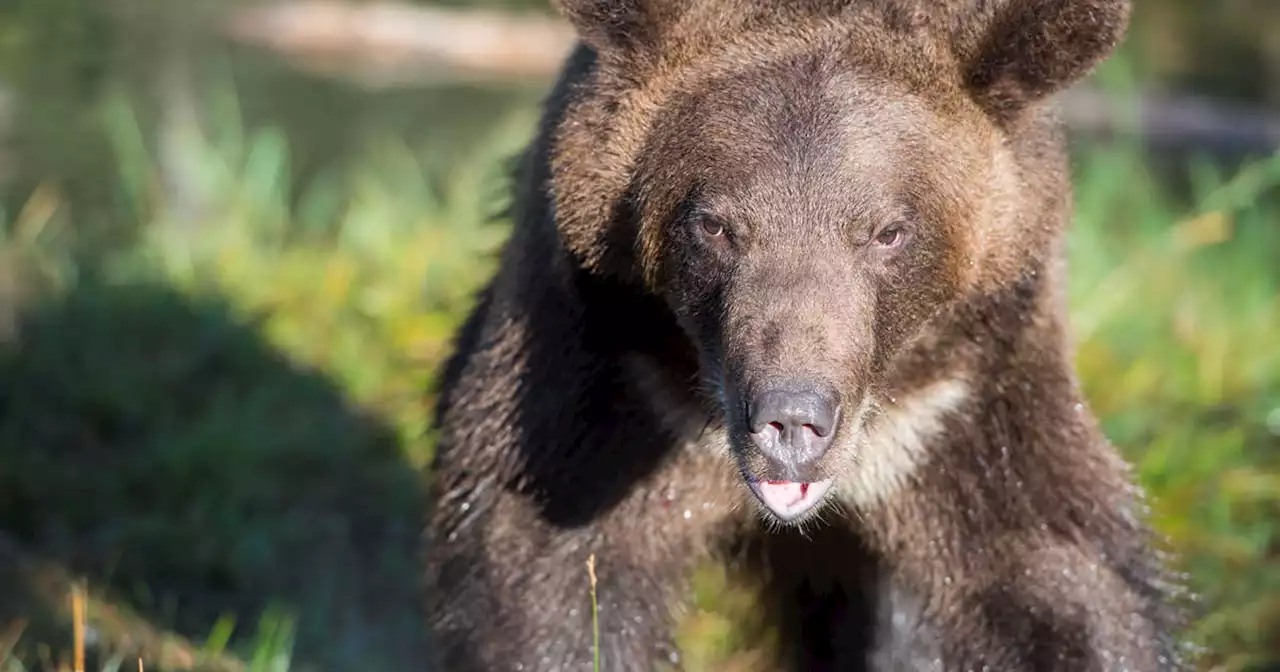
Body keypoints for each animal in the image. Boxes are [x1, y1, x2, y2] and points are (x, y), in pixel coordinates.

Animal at [419, 1, 1187, 670]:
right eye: (714, 225)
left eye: (888, 231)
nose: (792, 420)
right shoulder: (610, 375)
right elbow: (552, 570)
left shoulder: (960, 399)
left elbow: (1056, 575)